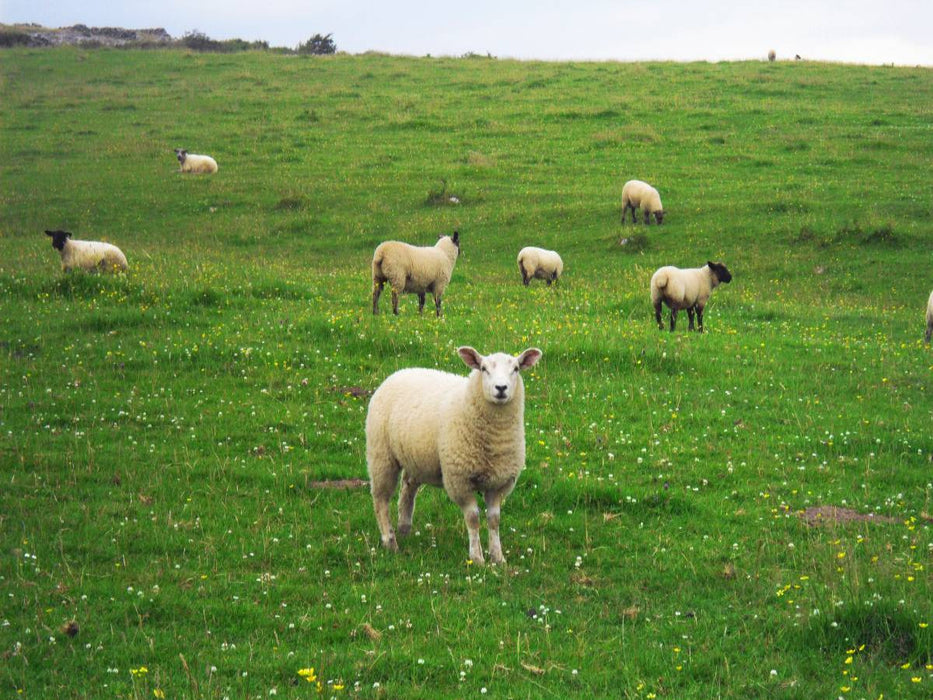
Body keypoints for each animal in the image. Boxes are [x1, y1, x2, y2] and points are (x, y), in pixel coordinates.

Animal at [365, 346, 543, 565]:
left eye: (516, 368)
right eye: (483, 369)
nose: (501, 388)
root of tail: (400, 372)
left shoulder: (499, 483)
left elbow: (494, 520)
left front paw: (498, 557)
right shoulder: (460, 480)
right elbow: (473, 519)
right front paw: (477, 558)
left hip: (416, 458)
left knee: (408, 487)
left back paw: (404, 528)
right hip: (381, 454)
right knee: (381, 499)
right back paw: (390, 541)